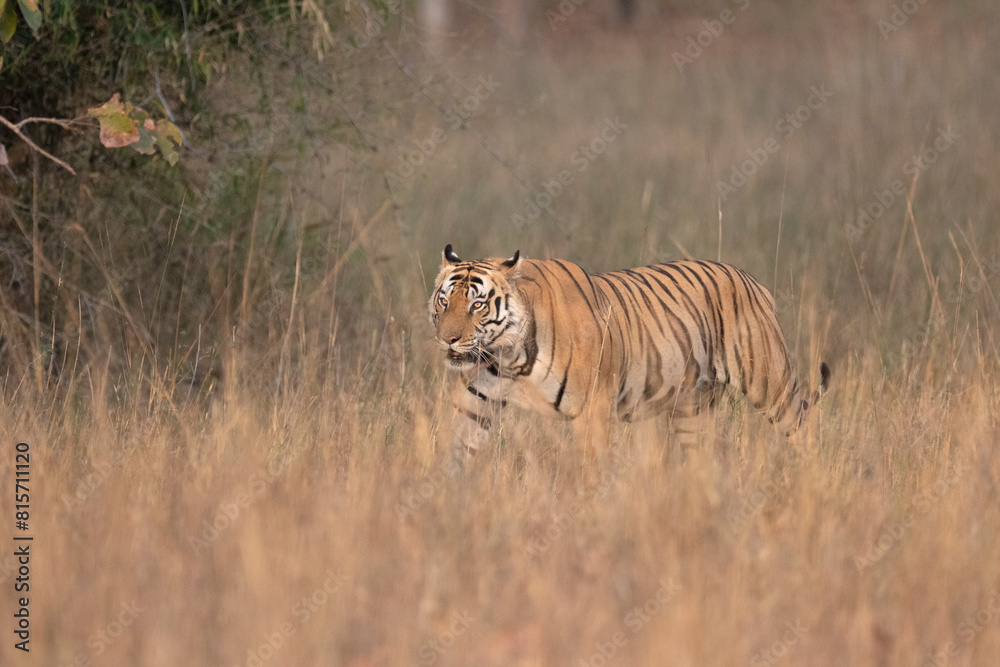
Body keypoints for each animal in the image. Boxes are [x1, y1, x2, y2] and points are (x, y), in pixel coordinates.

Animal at [429, 244, 830, 462]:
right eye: (444, 301)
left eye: (477, 305)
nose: (448, 339)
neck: (509, 357)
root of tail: (755, 282)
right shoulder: (477, 400)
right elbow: (457, 445)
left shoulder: (592, 410)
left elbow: (591, 469)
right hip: (692, 409)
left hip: (771, 385)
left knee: (803, 428)